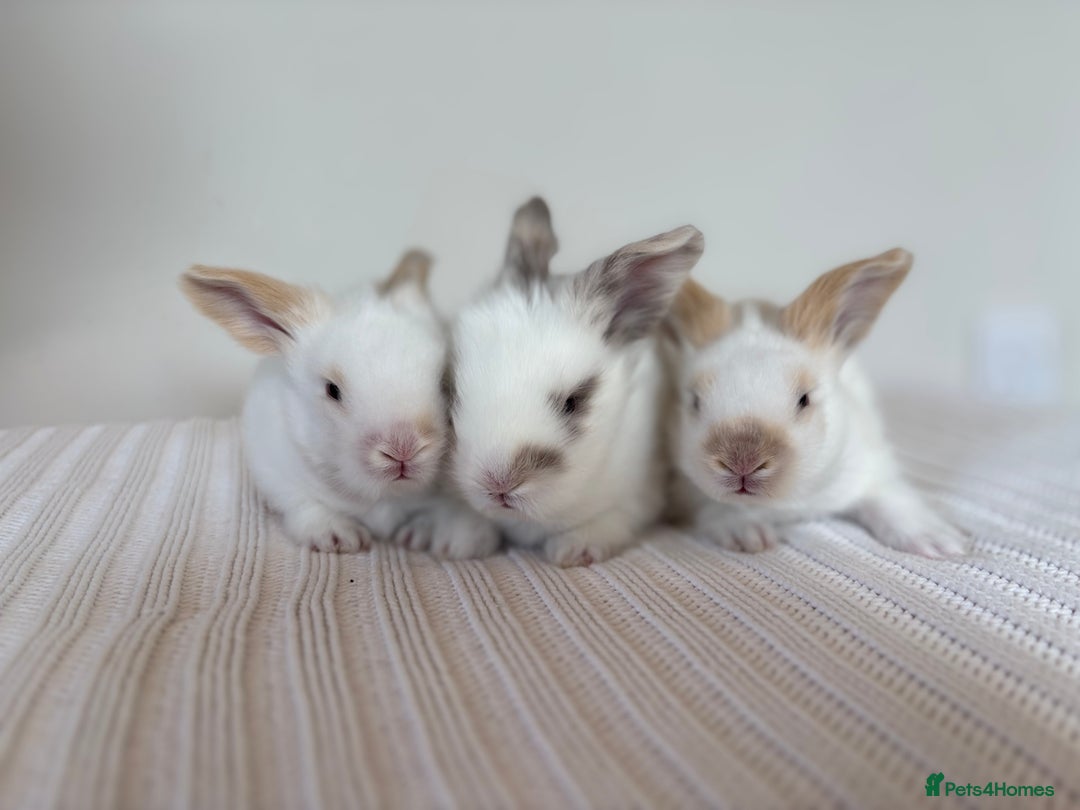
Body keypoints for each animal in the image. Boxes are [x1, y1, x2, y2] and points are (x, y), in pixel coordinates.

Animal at [181, 250, 499, 556]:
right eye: (333, 390)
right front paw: (338, 537)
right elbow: (304, 505)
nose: (403, 451)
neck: (382, 496)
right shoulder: (277, 473)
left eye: (444, 383)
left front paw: (443, 539)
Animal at [447, 196, 705, 567]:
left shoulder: (639, 493)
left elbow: (612, 519)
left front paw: (575, 549)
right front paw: (461, 543)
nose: (498, 484)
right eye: (454, 393)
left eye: (572, 402)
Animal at [664, 247, 970, 558]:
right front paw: (749, 536)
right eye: (695, 401)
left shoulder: (873, 469)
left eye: (804, 399)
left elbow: (891, 501)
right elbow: (718, 508)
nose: (742, 464)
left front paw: (941, 543)